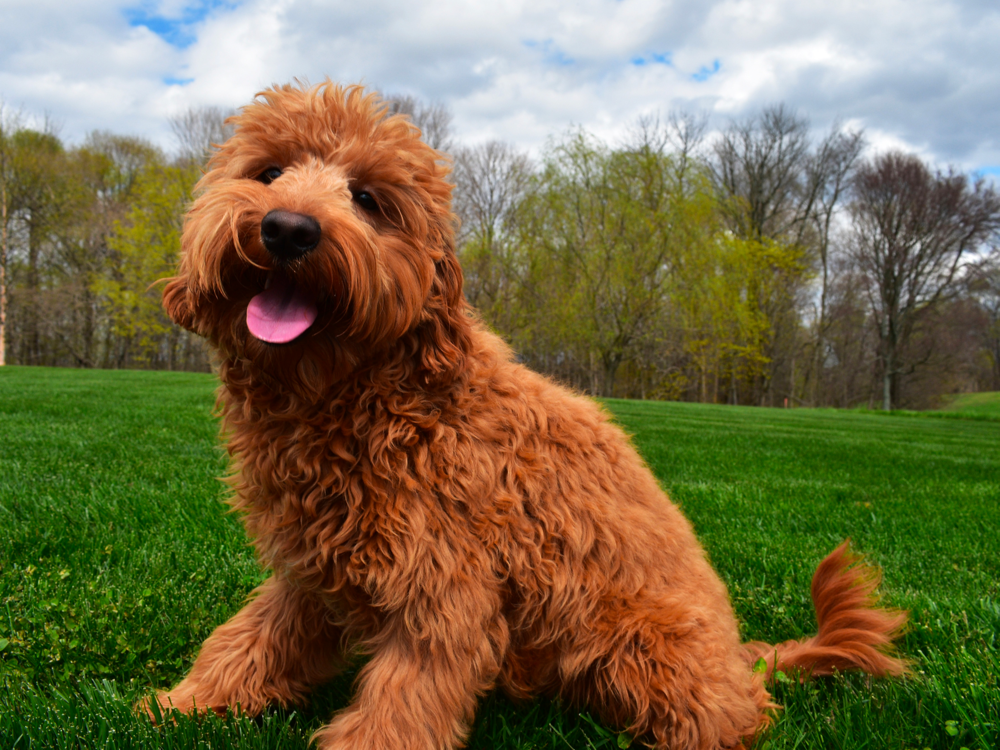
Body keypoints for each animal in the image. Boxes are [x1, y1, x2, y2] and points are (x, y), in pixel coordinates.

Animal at [152, 82, 912, 750]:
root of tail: (738, 656)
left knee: (733, 717)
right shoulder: (313, 567)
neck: (368, 393)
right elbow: (253, 636)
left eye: (368, 199)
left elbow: (403, 702)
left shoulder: (442, 586)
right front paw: (186, 702)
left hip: (643, 647)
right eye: (269, 171)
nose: (286, 228)